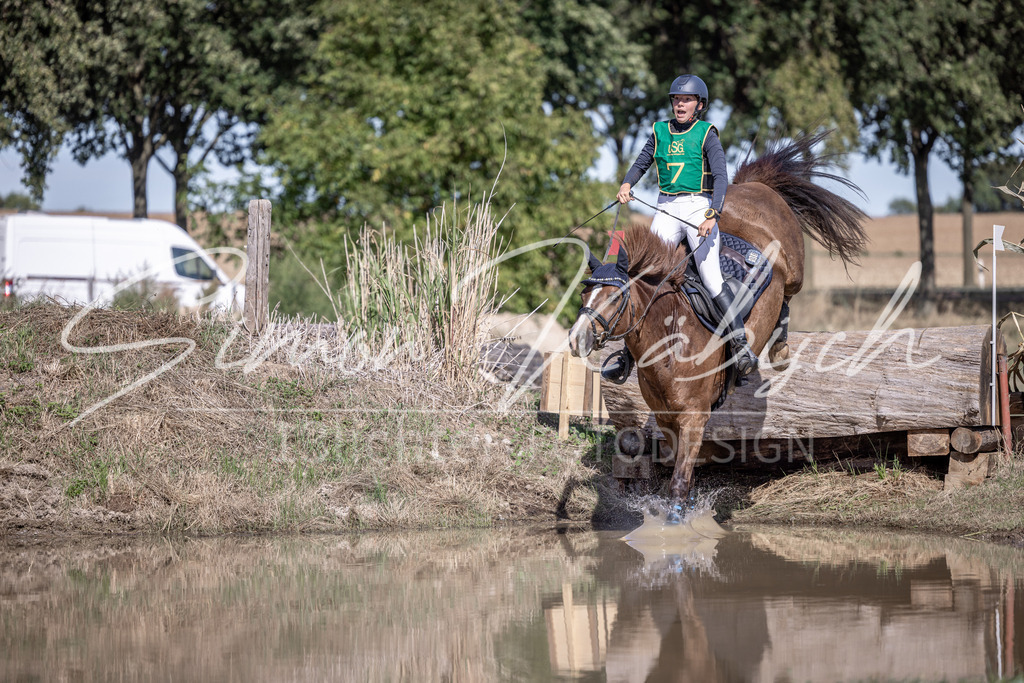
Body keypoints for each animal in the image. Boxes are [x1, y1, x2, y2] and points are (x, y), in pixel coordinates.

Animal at [567, 130, 868, 516]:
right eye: (583, 295)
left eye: (615, 297)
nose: (576, 339)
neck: (670, 343)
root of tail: (753, 186)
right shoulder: (667, 420)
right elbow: (683, 471)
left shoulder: (694, 417)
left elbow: (679, 482)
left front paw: (678, 520)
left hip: (795, 271)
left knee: (787, 297)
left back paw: (779, 349)